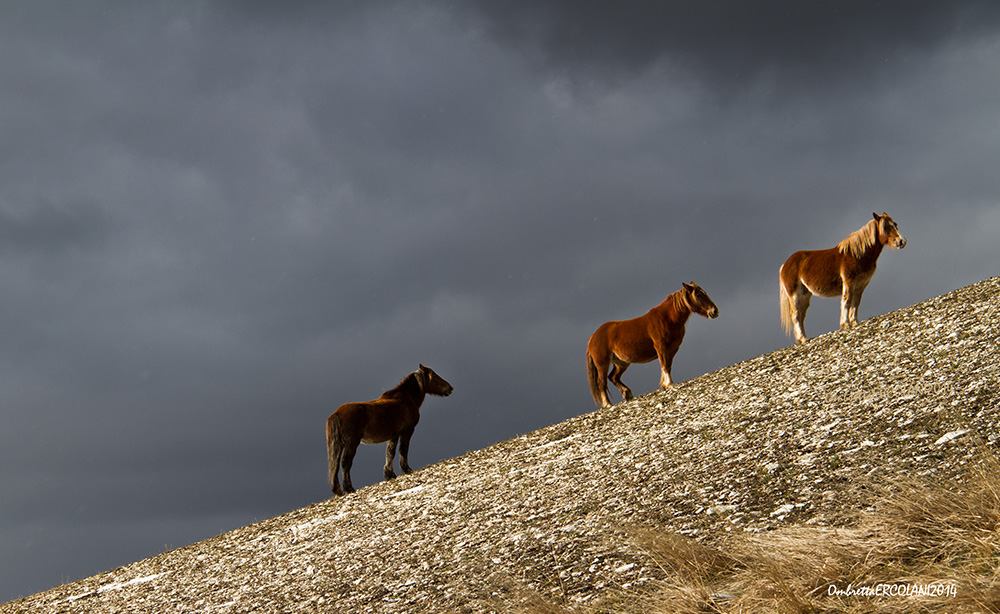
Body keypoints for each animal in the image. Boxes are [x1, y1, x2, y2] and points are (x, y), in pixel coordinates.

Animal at [328, 366, 454, 496]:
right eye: (434, 375)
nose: (449, 388)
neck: (405, 398)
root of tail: (337, 414)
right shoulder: (407, 430)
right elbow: (403, 450)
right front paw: (407, 469)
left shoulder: (394, 435)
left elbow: (390, 452)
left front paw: (389, 474)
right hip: (351, 444)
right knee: (345, 464)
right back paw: (349, 488)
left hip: (339, 446)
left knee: (335, 465)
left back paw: (338, 490)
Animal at [584, 282, 720, 410]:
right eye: (698, 294)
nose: (714, 311)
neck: (667, 318)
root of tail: (593, 336)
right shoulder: (661, 347)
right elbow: (665, 365)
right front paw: (668, 384)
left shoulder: (672, 349)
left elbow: (668, 365)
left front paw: (666, 384)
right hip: (602, 364)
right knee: (602, 382)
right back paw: (607, 404)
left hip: (621, 362)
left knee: (613, 377)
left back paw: (627, 394)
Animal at [780, 213, 908, 346]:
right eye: (886, 227)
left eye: (895, 224)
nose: (902, 241)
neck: (858, 254)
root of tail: (785, 265)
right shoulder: (849, 282)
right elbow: (847, 300)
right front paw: (846, 324)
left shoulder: (861, 284)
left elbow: (856, 302)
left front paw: (855, 322)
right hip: (795, 294)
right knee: (795, 315)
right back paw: (803, 339)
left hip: (805, 295)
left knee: (801, 315)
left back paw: (803, 338)